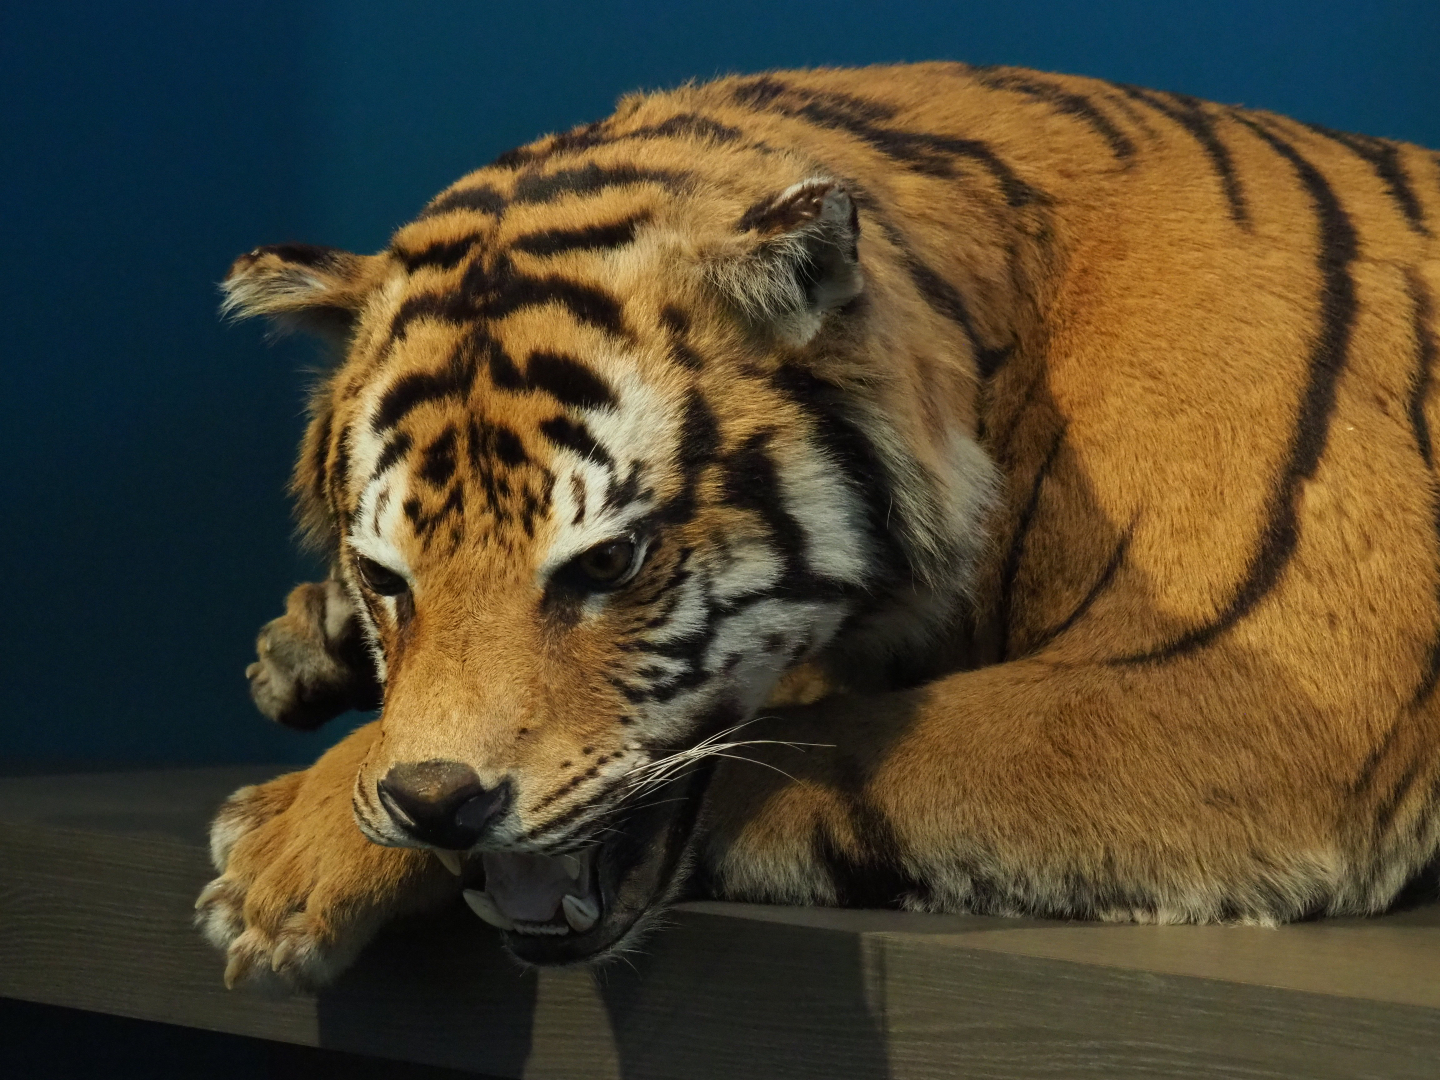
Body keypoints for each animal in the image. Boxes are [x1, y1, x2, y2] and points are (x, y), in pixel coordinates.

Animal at [194, 61, 1440, 988]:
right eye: (387, 577)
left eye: (612, 561)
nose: (438, 804)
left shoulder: (1242, 693)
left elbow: (841, 742)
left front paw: (284, 842)